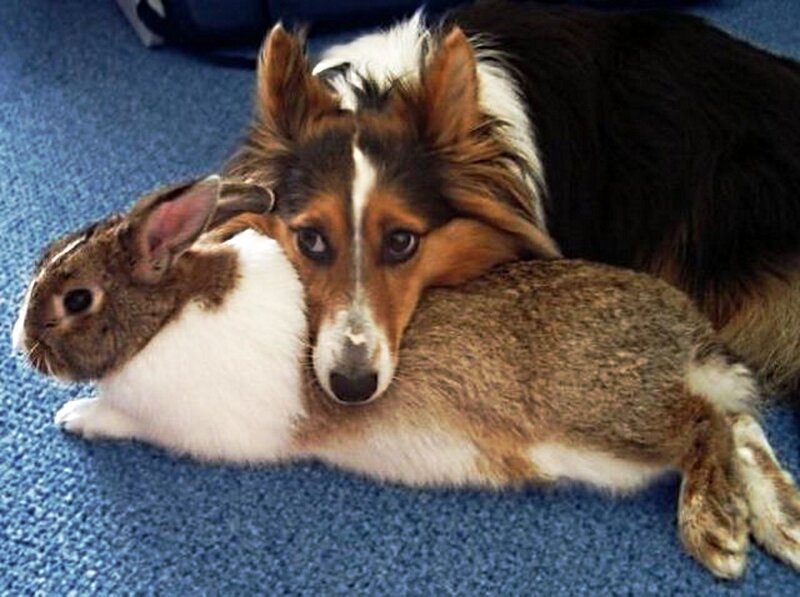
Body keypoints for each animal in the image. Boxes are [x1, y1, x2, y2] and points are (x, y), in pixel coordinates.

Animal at [12, 178, 800, 579]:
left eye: (76, 299)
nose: (22, 346)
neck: (166, 313)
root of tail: (690, 338)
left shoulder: (182, 423)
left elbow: (119, 417)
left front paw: (72, 417)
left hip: (609, 418)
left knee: (705, 424)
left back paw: (720, 531)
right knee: (738, 421)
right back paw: (783, 522)